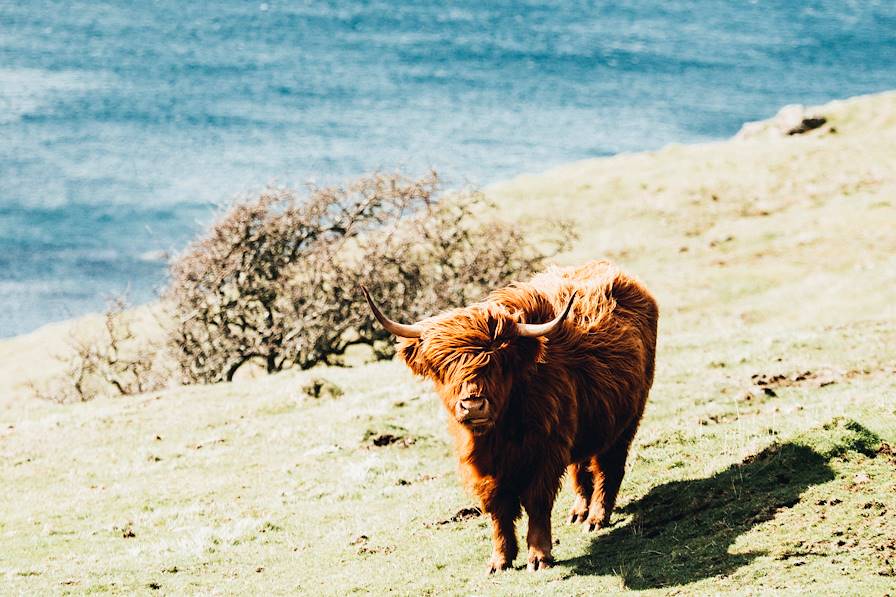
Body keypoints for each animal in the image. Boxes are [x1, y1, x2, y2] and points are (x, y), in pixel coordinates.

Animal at [362, 258, 656, 572]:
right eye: (443, 366)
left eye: (495, 363)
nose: (473, 405)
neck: (500, 433)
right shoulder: (484, 469)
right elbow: (497, 509)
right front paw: (500, 559)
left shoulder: (545, 453)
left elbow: (537, 502)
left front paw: (539, 556)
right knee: (582, 465)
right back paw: (579, 512)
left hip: (625, 422)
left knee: (607, 467)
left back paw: (596, 518)